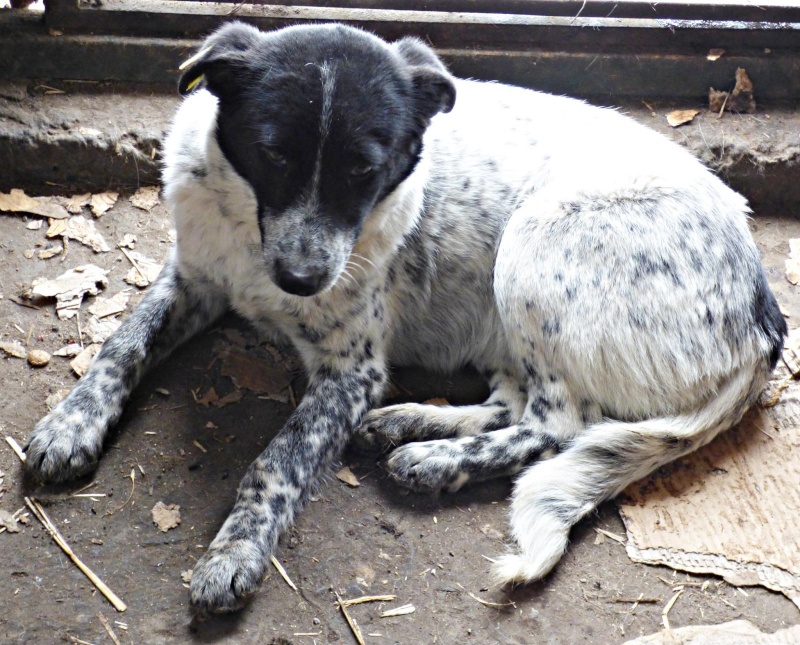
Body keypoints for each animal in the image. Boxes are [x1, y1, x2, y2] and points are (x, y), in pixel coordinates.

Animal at [23, 22, 780, 612]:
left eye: (365, 168)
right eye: (273, 153)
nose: (301, 280)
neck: (250, 238)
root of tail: (765, 321)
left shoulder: (350, 370)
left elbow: (278, 459)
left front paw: (236, 550)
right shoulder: (194, 277)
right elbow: (122, 344)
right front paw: (70, 423)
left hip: (535, 243)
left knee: (557, 423)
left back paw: (433, 458)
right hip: (505, 315)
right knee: (514, 403)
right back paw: (409, 423)